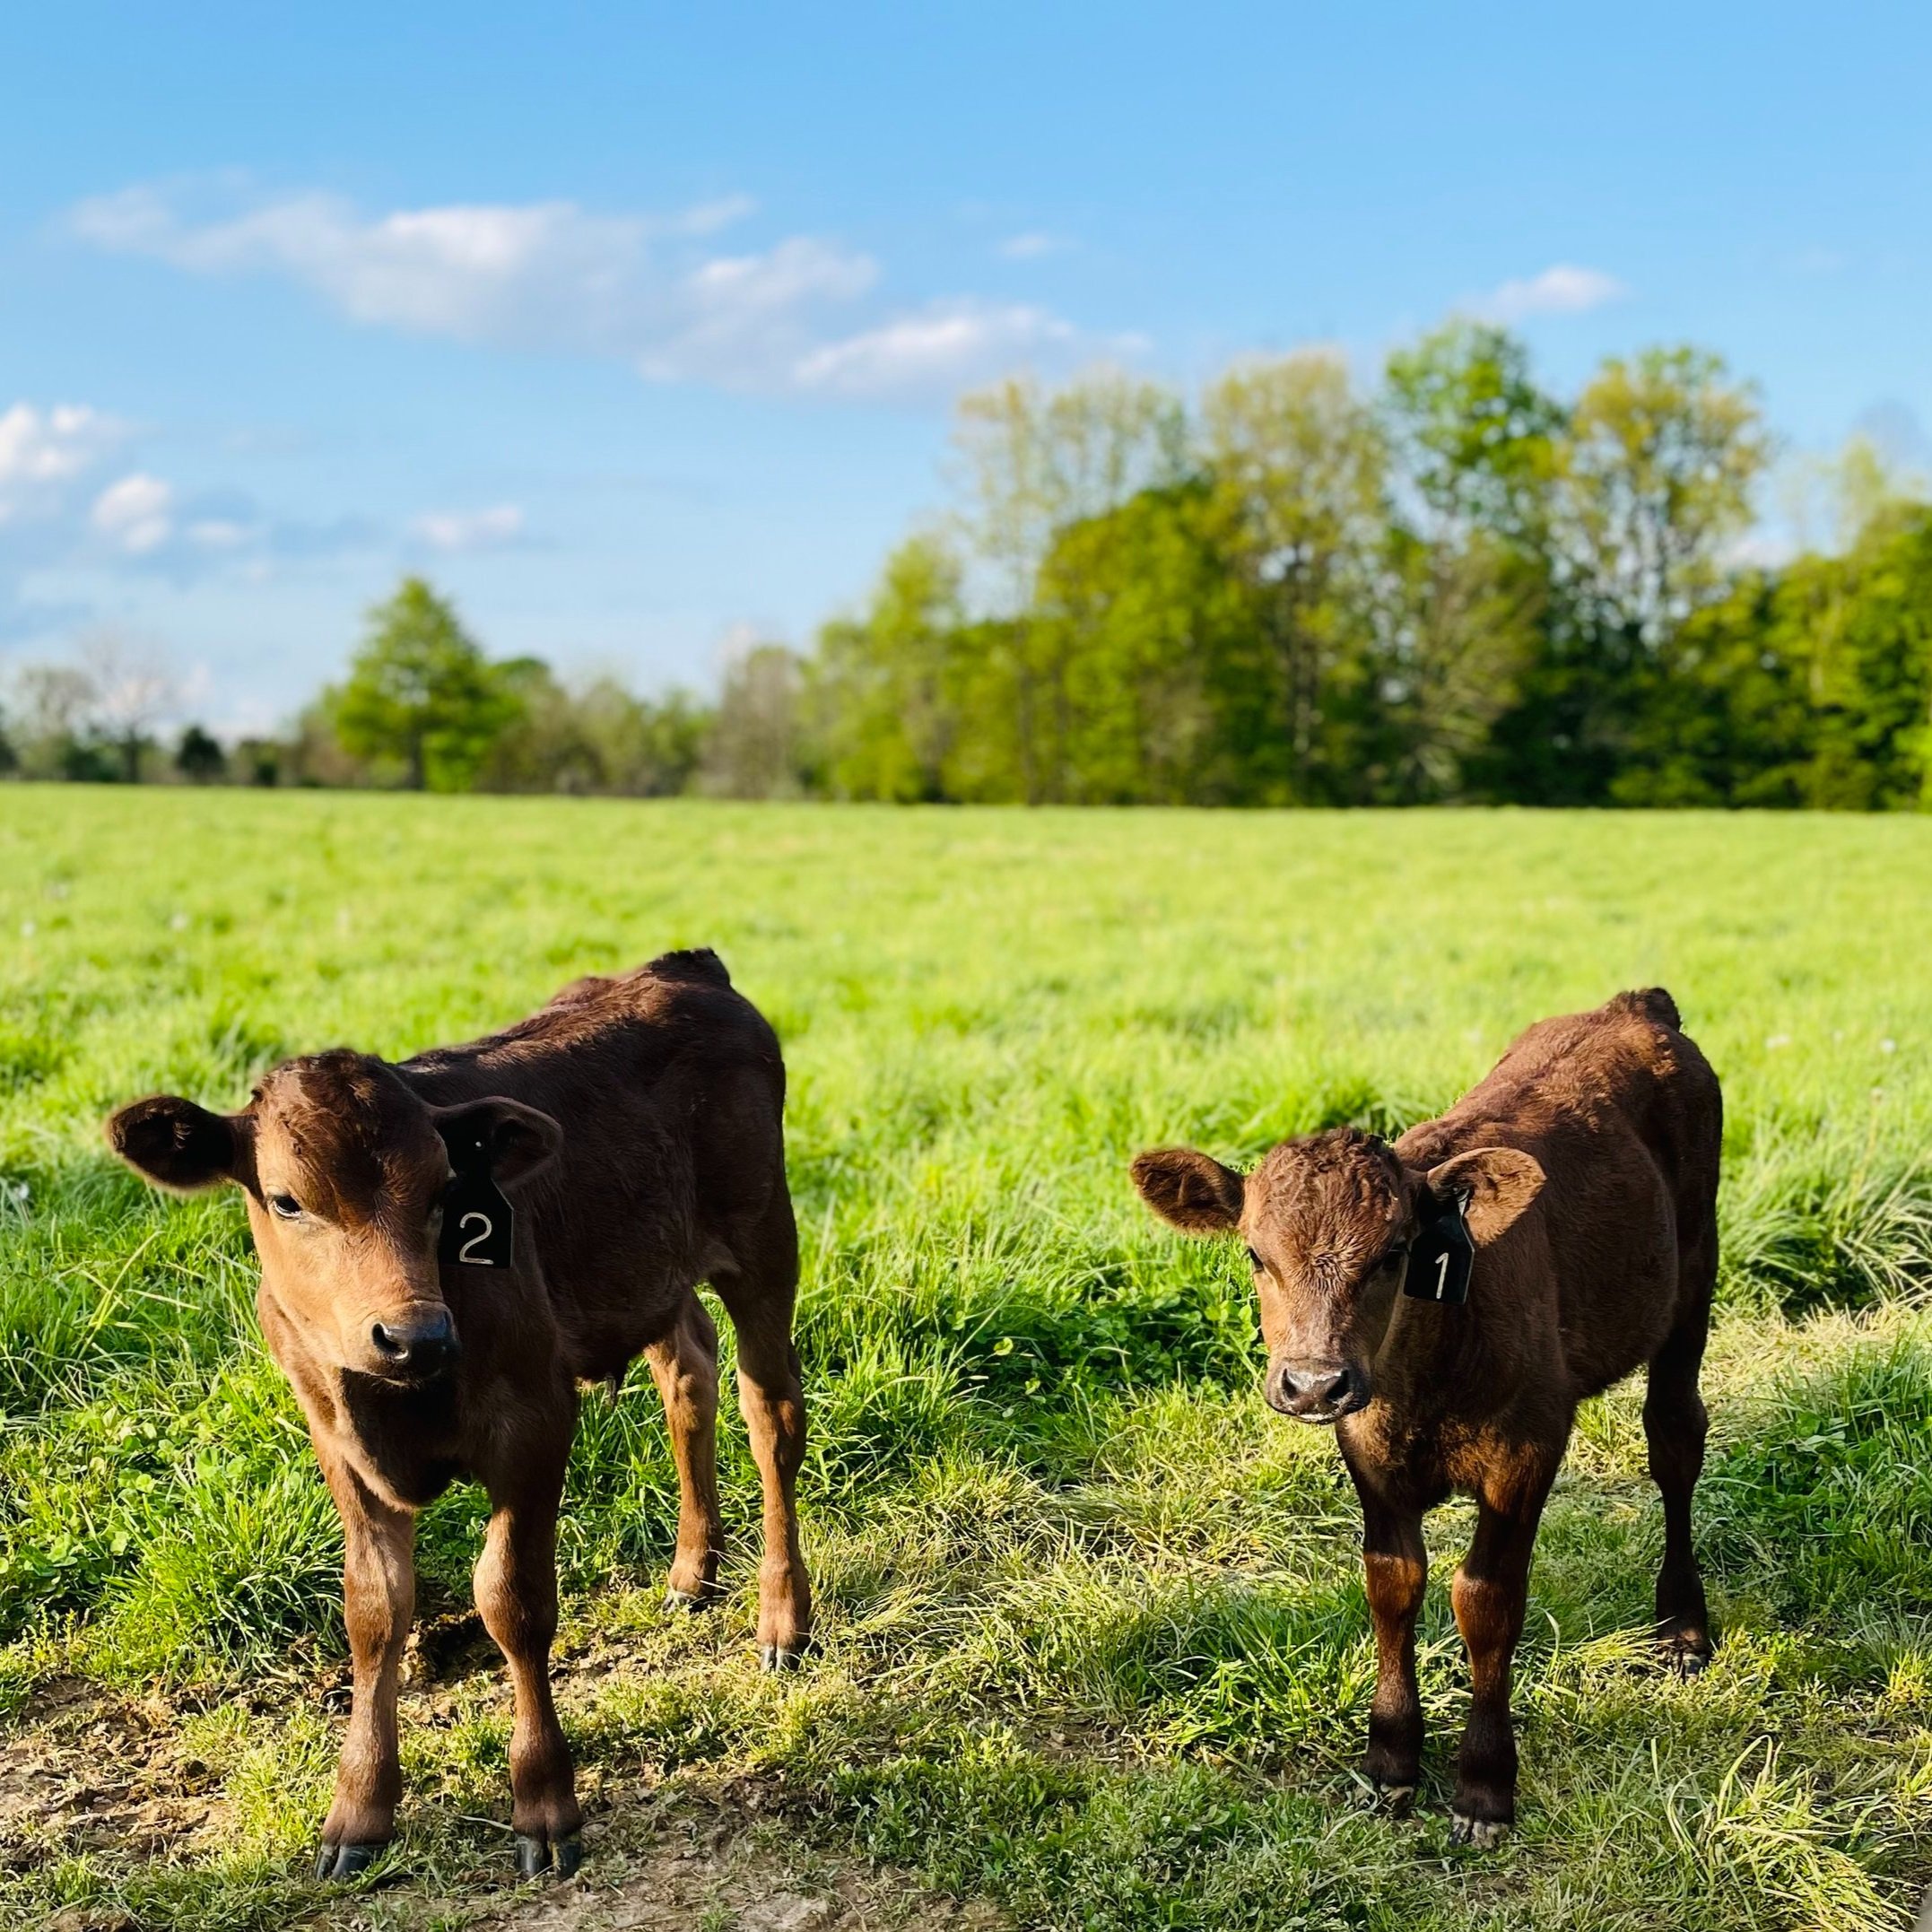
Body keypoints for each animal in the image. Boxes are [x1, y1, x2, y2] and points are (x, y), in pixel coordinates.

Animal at [106, 949, 809, 1881]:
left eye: (446, 1190)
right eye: (287, 1201)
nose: (414, 1335)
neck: (392, 1401)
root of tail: (682, 968)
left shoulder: (536, 1420)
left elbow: (511, 1599)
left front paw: (544, 1802)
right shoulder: (337, 1443)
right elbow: (374, 1611)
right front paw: (359, 1811)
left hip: (764, 1239)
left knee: (770, 1413)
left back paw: (784, 1618)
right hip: (650, 1269)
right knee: (687, 1370)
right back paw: (694, 1570)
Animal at [1130, 989, 1720, 1845]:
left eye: (1395, 1253)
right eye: (1254, 1255)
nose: (1314, 1383)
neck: (1424, 1382)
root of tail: (1632, 1007)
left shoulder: (1528, 1444)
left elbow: (1486, 1599)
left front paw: (1484, 1787)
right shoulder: (1368, 1447)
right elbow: (1392, 1583)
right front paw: (1390, 1760)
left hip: (1693, 1281)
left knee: (1675, 1441)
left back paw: (1682, 1628)